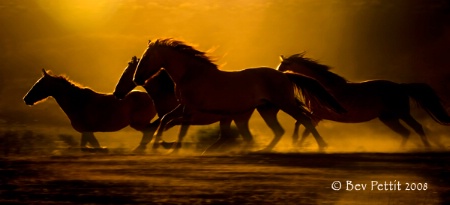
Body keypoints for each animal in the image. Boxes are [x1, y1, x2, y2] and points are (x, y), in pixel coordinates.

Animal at [22, 69, 156, 151]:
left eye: (39, 84)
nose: (26, 99)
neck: (78, 102)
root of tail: (151, 98)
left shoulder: (87, 130)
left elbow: (92, 146)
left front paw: (103, 150)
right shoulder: (86, 131)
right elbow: (87, 146)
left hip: (138, 124)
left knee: (150, 131)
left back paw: (140, 149)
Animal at [131, 38, 344, 151]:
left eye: (147, 57)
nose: (136, 79)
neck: (191, 74)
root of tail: (284, 74)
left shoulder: (190, 110)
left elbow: (179, 127)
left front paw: (170, 149)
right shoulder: (183, 106)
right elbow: (165, 119)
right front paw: (156, 144)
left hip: (285, 104)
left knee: (305, 120)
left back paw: (321, 146)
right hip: (266, 109)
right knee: (279, 131)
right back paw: (263, 150)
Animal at [278, 53, 450, 147]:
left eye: (284, 65)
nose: (277, 73)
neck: (324, 87)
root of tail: (401, 87)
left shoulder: (318, 115)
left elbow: (303, 125)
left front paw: (297, 143)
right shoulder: (316, 115)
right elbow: (303, 126)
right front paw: (298, 144)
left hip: (402, 113)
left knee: (417, 128)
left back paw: (427, 148)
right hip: (388, 118)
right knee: (406, 132)